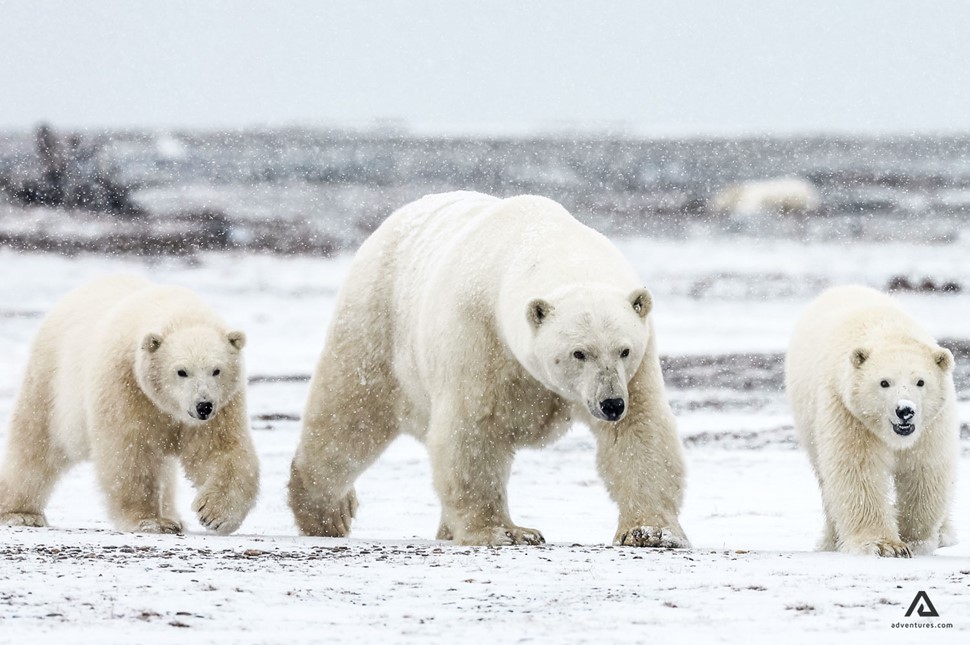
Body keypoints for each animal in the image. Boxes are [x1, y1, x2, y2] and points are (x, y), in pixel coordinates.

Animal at [0, 274, 260, 532]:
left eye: (216, 370)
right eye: (182, 371)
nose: (203, 406)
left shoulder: (223, 405)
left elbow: (221, 449)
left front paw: (215, 514)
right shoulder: (125, 385)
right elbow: (130, 452)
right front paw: (149, 520)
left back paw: (174, 517)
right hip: (52, 381)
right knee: (35, 444)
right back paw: (20, 513)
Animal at [288, 189, 688, 544]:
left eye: (623, 350)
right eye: (579, 353)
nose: (610, 404)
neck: (543, 241)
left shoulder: (638, 365)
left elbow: (639, 432)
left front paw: (650, 531)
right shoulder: (478, 334)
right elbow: (472, 430)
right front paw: (507, 532)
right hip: (377, 322)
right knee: (349, 416)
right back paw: (327, 513)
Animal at [788, 284, 960, 556]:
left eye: (920, 381)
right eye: (884, 382)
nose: (905, 411)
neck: (888, 332)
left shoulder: (932, 424)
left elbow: (924, 468)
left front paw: (915, 540)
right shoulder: (847, 411)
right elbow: (858, 469)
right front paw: (885, 546)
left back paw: (945, 534)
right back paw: (831, 542)